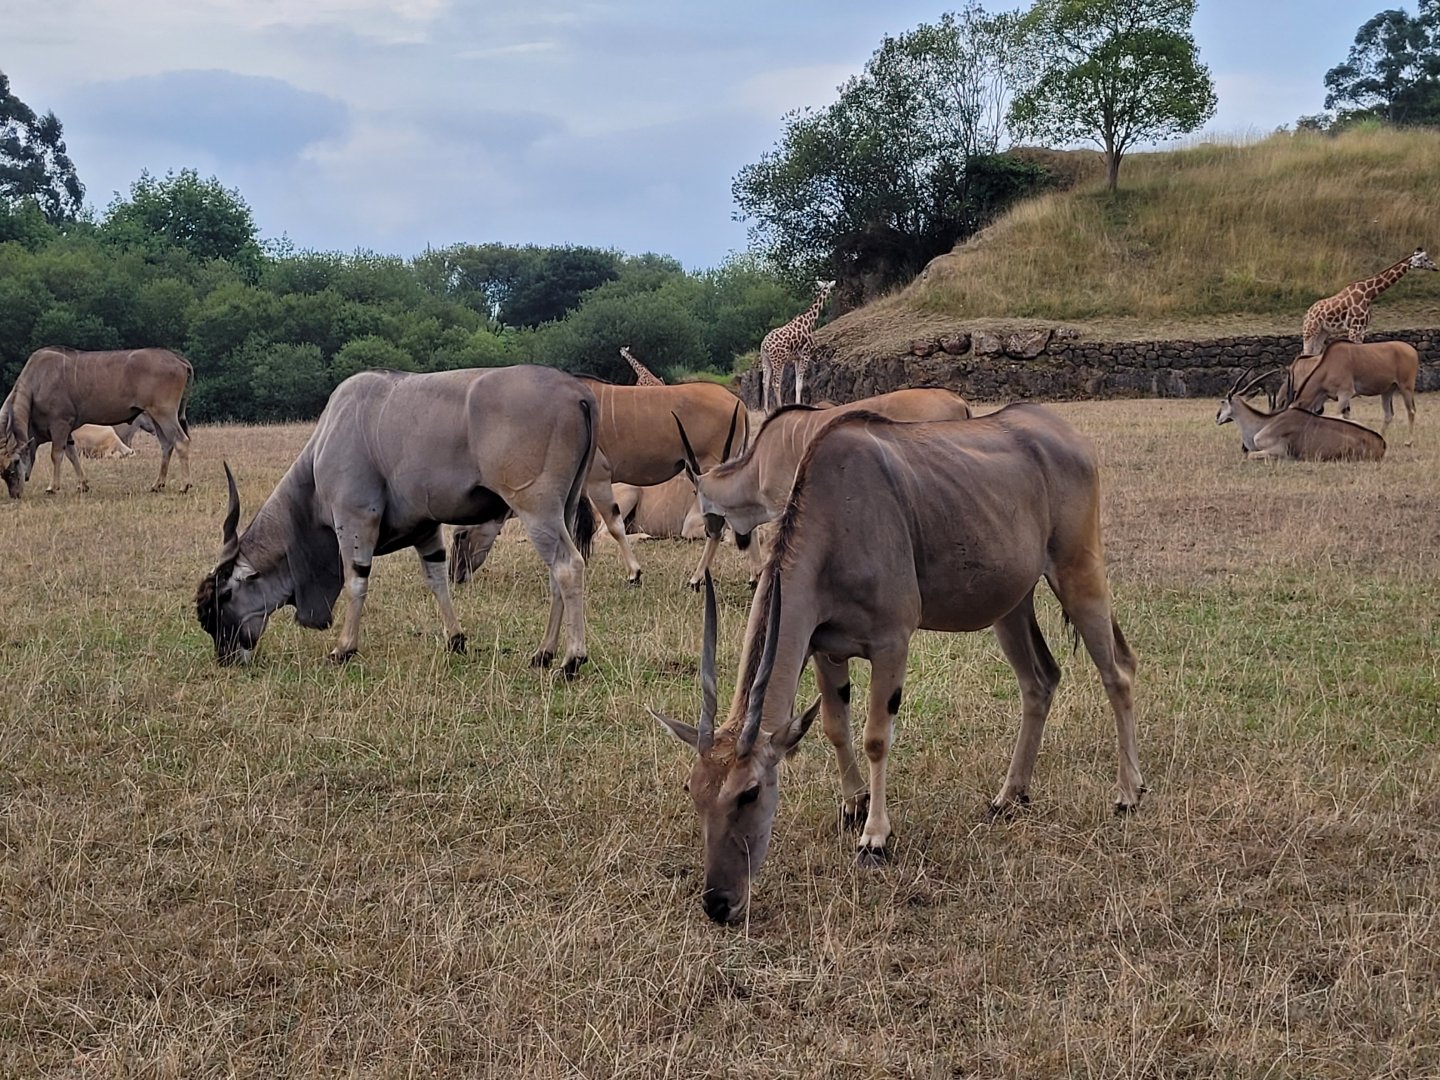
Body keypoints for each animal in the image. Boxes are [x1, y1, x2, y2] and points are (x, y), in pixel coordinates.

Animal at [759, 279, 835, 412]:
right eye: (830, 289)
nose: (831, 297)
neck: (810, 320)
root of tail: (764, 345)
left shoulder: (796, 358)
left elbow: (796, 385)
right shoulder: (806, 355)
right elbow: (800, 385)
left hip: (766, 360)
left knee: (765, 383)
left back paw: (766, 412)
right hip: (778, 361)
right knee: (776, 383)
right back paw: (779, 408)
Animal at [1301, 248, 1438, 356]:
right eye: (1425, 259)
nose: (1435, 266)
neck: (1369, 294)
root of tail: (1308, 312)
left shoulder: (1362, 329)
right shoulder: (1354, 329)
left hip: (1323, 331)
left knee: (1314, 352)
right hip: (1310, 330)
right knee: (1305, 353)